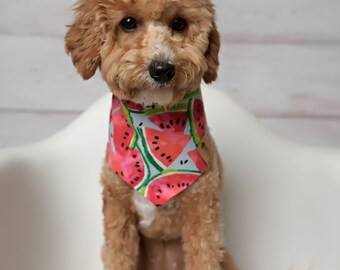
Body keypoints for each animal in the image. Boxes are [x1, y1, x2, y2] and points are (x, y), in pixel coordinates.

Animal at [65, 0, 236, 270]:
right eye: (128, 22)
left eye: (179, 23)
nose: (162, 69)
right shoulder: (117, 209)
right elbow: (119, 257)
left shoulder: (202, 210)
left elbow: (203, 255)